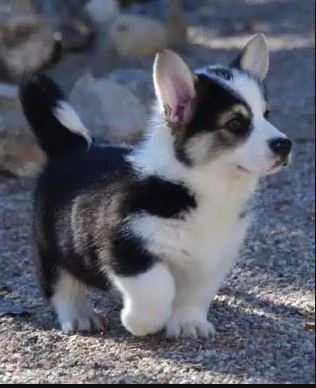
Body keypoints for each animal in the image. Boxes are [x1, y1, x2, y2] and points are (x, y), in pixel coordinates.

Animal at [19, 33, 292, 338]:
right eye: (236, 123)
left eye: (267, 114)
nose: (285, 145)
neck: (205, 187)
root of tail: (72, 147)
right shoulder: (126, 248)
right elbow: (157, 289)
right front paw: (139, 322)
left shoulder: (212, 261)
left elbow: (196, 294)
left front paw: (189, 323)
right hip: (51, 245)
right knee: (61, 284)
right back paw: (79, 316)